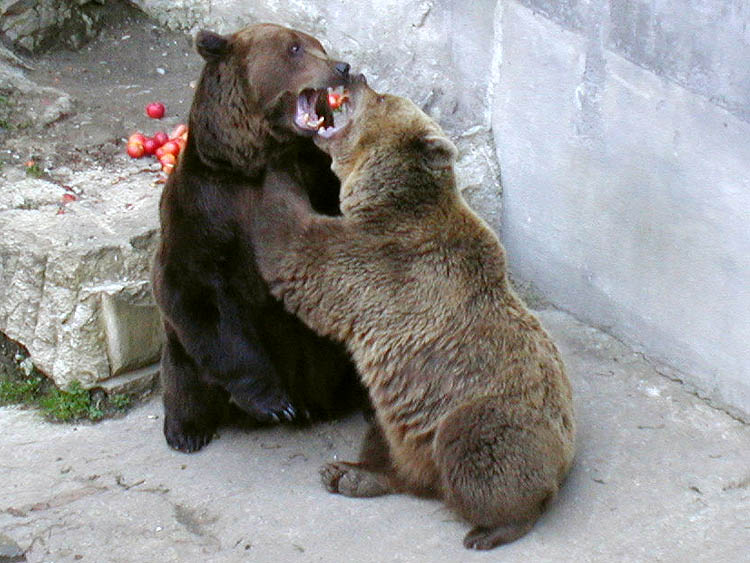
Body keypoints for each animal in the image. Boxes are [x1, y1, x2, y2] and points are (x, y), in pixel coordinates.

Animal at [151, 24, 362, 454]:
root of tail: (321, 403)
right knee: (184, 372)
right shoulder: (204, 207)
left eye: (318, 45)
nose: (341, 67)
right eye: (295, 48)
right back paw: (186, 429)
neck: (258, 160)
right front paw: (275, 402)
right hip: (183, 352)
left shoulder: (321, 181)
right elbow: (199, 293)